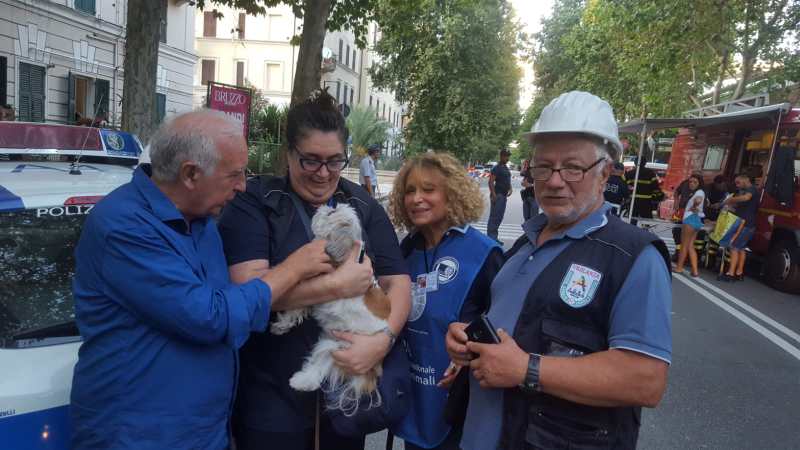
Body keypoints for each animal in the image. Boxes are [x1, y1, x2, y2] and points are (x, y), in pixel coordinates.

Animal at [270, 204, 392, 414]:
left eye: (331, 213)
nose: (326, 206)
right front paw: (282, 325)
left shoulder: (317, 285)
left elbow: (296, 304)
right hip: (331, 345)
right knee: (316, 369)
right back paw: (301, 381)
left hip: (341, 348)